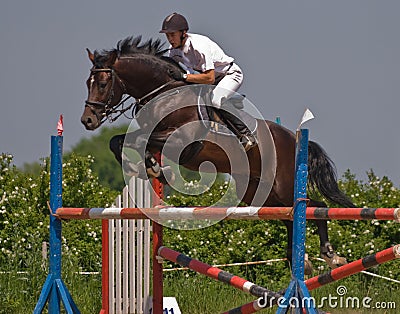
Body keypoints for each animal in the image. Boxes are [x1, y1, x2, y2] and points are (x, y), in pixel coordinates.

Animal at [82, 36, 356, 272]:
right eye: (88, 84)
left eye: (103, 84)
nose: (88, 120)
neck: (163, 95)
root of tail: (293, 138)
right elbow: (119, 141)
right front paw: (147, 166)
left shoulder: (183, 142)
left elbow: (141, 141)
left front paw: (153, 166)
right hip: (259, 193)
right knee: (290, 217)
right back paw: (300, 261)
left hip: (284, 185)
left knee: (315, 207)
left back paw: (331, 255)